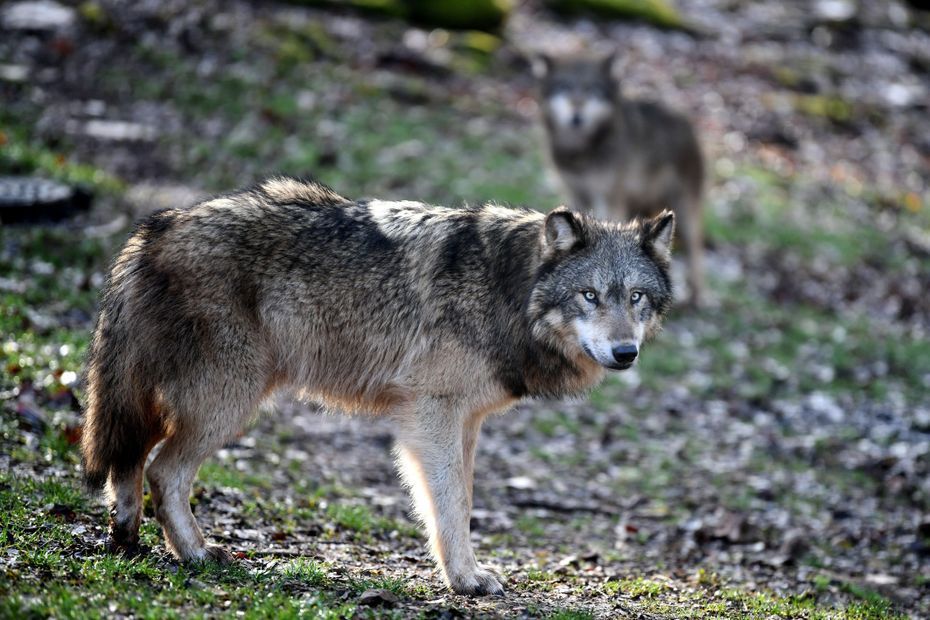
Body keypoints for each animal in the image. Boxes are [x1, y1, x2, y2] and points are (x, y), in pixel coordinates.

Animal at [81, 176, 676, 596]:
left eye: (636, 298)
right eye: (589, 296)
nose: (626, 353)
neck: (506, 291)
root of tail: (157, 227)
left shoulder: (463, 423)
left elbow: (456, 503)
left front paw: (462, 573)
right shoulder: (433, 415)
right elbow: (452, 502)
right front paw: (466, 581)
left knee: (129, 462)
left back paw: (127, 540)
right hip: (228, 402)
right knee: (162, 471)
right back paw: (199, 555)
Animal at [528, 52, 704, 306]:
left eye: (592, 90)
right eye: (564, 88)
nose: (576, 117)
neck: (583, 152)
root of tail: (687, 122)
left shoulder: (609, 198)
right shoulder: (575, 193)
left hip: (685, 211)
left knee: (696, 251)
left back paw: (697, 298)